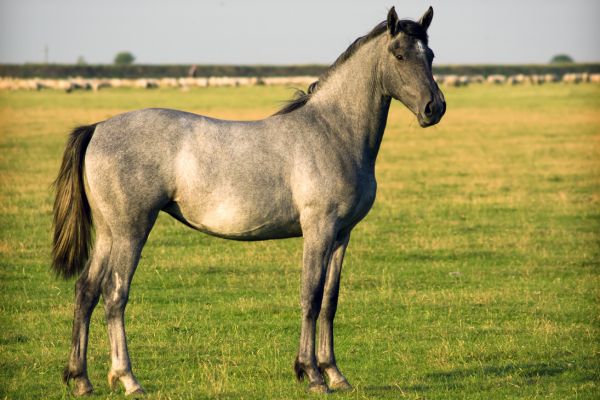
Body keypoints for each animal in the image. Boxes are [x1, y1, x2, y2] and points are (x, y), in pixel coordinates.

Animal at [51, 5, 446, 394]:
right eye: (398, 55)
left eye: (430, 55)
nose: (434, 108)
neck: (333, 131)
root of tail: (98, 127)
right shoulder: (318, 230)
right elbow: (311, 296)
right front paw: (312, 374)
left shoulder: (341, 235)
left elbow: (330, 301)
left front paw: (335, 373)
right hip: (131, 231)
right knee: (115, 294)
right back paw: (128, 378)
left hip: (109, 233)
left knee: (86, 291)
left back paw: (81, 379)